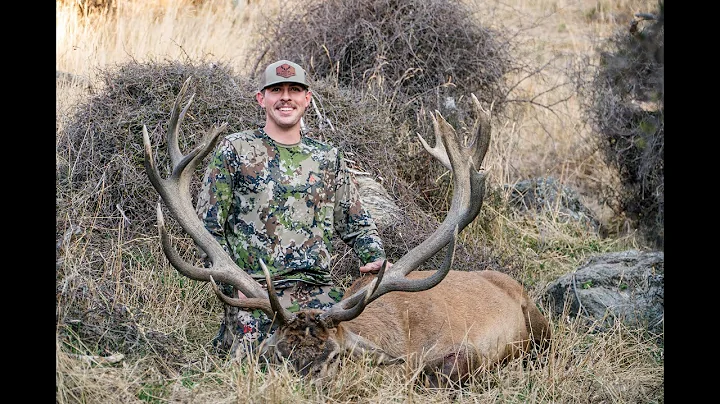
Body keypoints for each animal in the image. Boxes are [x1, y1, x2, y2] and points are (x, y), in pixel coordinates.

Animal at [142, 77, 551, 387]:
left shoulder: (462, 351)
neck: (397, 338)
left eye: (334, 357)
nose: (303, 385)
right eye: (279, 355)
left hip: (539, 322)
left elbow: (440, 373)